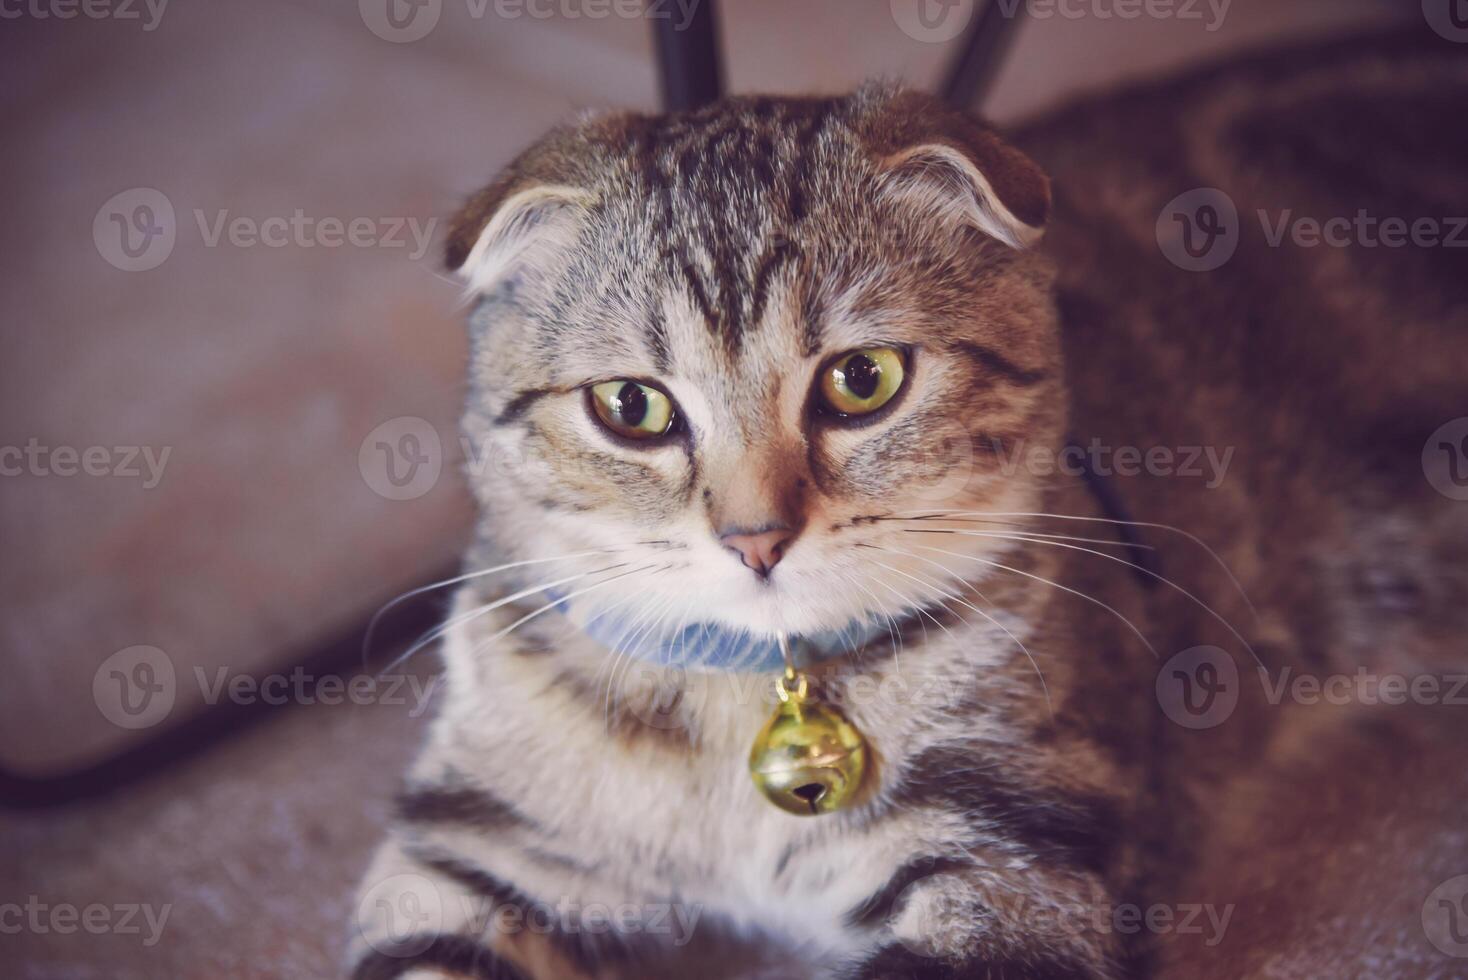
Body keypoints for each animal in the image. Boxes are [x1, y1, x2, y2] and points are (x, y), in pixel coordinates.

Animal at [346, 30, 1468, 979]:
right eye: (632, 406)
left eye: (863, 380)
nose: (756, 540)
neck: (743, 702)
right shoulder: (482, 843)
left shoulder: (1012, 862)